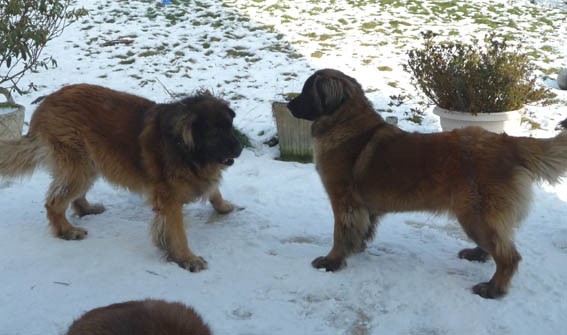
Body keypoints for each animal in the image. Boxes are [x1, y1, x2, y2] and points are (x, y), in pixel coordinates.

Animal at [0, 84, 242, 272]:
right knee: (54, 202)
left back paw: (86, 209)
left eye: (229, 127)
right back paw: (67, 231)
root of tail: (45, 103)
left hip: (90, 162)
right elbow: (177, 231)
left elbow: (214, 191)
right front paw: (186, 258)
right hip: (79, 165)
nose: (239, 149)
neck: (184, 145)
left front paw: (222, 206)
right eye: (214, 133)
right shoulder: (169, 198)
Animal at [288, 68, 567, 300]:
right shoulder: (364, 208)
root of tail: (506, 142)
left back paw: (493, 288)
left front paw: (332, 261)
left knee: (509, 256)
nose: (289, 104)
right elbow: (361, 230)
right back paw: (477, 255)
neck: (344, 121)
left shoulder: (344, 201)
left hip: (475, 215)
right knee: (499, 245)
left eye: (306, 91)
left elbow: (340, 233)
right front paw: (355, 249)